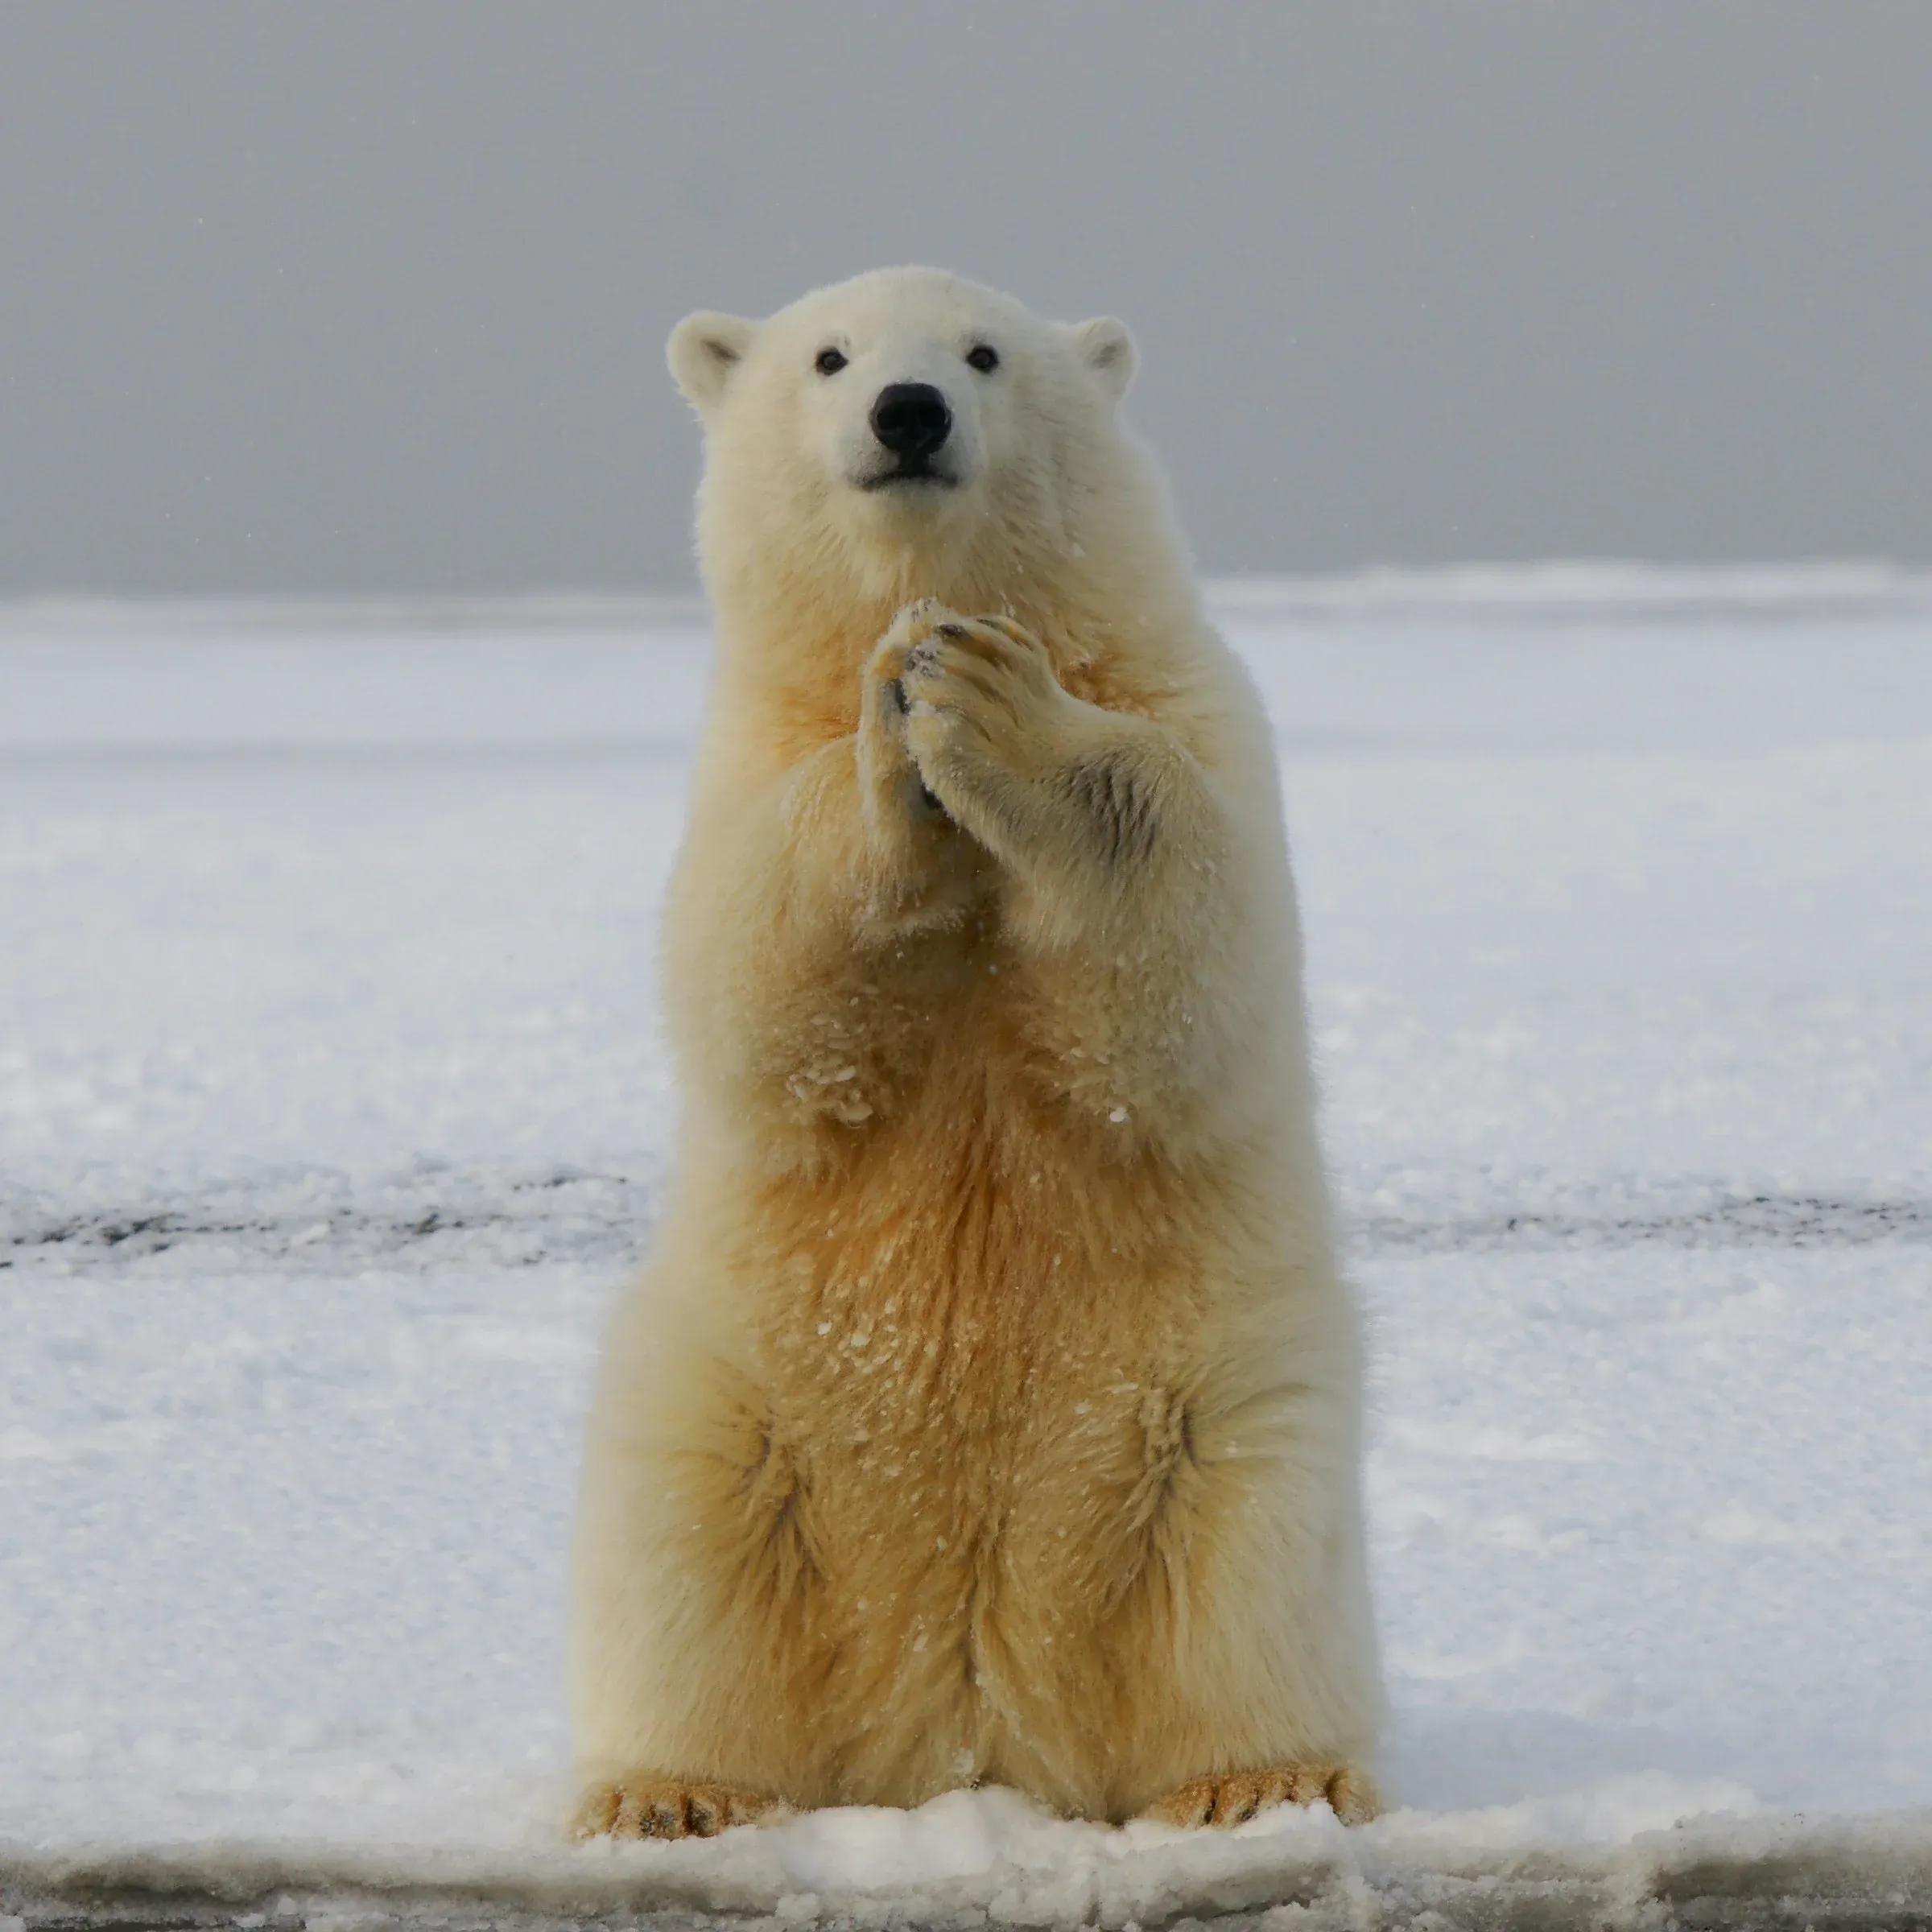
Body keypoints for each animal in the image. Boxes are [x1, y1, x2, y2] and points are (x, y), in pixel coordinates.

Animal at [569, 267, 1381, 1840]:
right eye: (829, 356)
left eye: (986, 353)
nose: (908, 410)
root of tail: (969, 1729)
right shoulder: (744, 758)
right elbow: (759, 977)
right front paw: (897, 726)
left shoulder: (1195, 710)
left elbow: (1187, 956)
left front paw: (989, 703)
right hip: (736, 1411)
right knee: (685, 1562)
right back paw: (672, 1794)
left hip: (1215, 1413)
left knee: (1249, 1575)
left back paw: (1259, 1779)